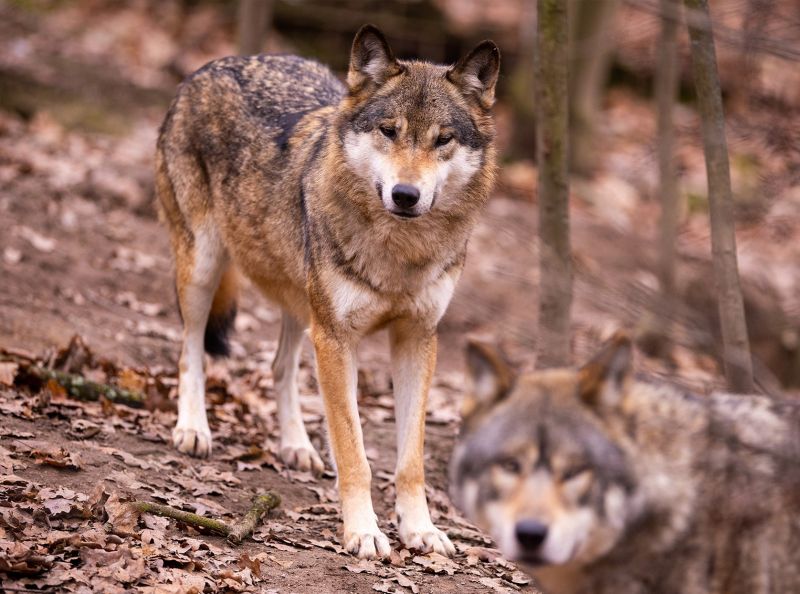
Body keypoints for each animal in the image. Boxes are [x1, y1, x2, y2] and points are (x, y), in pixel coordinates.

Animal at [156, 24, 500, 560]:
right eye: (388, 131)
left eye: (443, 139)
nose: (405, 195)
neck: (400, 254)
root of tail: (212, 64)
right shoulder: (337, 340)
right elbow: (354, 450)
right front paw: (363, 531)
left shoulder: (418, 340)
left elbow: (411, 460)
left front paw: (420, 530)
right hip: (203, 268)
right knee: (190, 348)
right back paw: (193, 428)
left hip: (302, 304)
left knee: (279, 367)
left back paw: (296, 447)